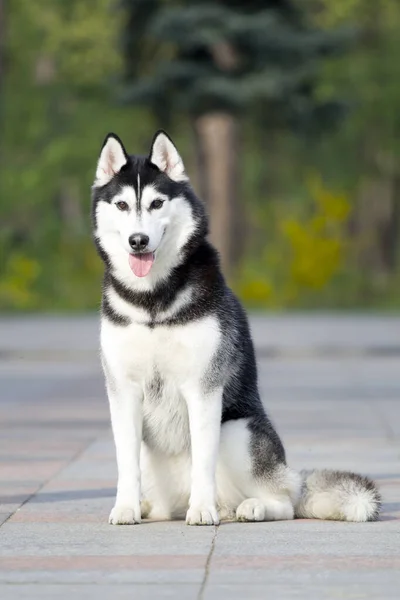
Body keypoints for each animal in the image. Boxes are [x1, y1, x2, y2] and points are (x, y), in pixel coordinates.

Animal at [91, 131, 382, 524]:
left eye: (156, 203)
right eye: (122, 205)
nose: (138, 241)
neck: (153, 300)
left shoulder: (203, 389)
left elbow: (203, 461)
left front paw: (202, 511)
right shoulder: (124, 392)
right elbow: (126, 464)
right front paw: (125, 508)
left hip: (237, 430)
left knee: (285, 502)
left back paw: (247, 507)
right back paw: (155, 507)